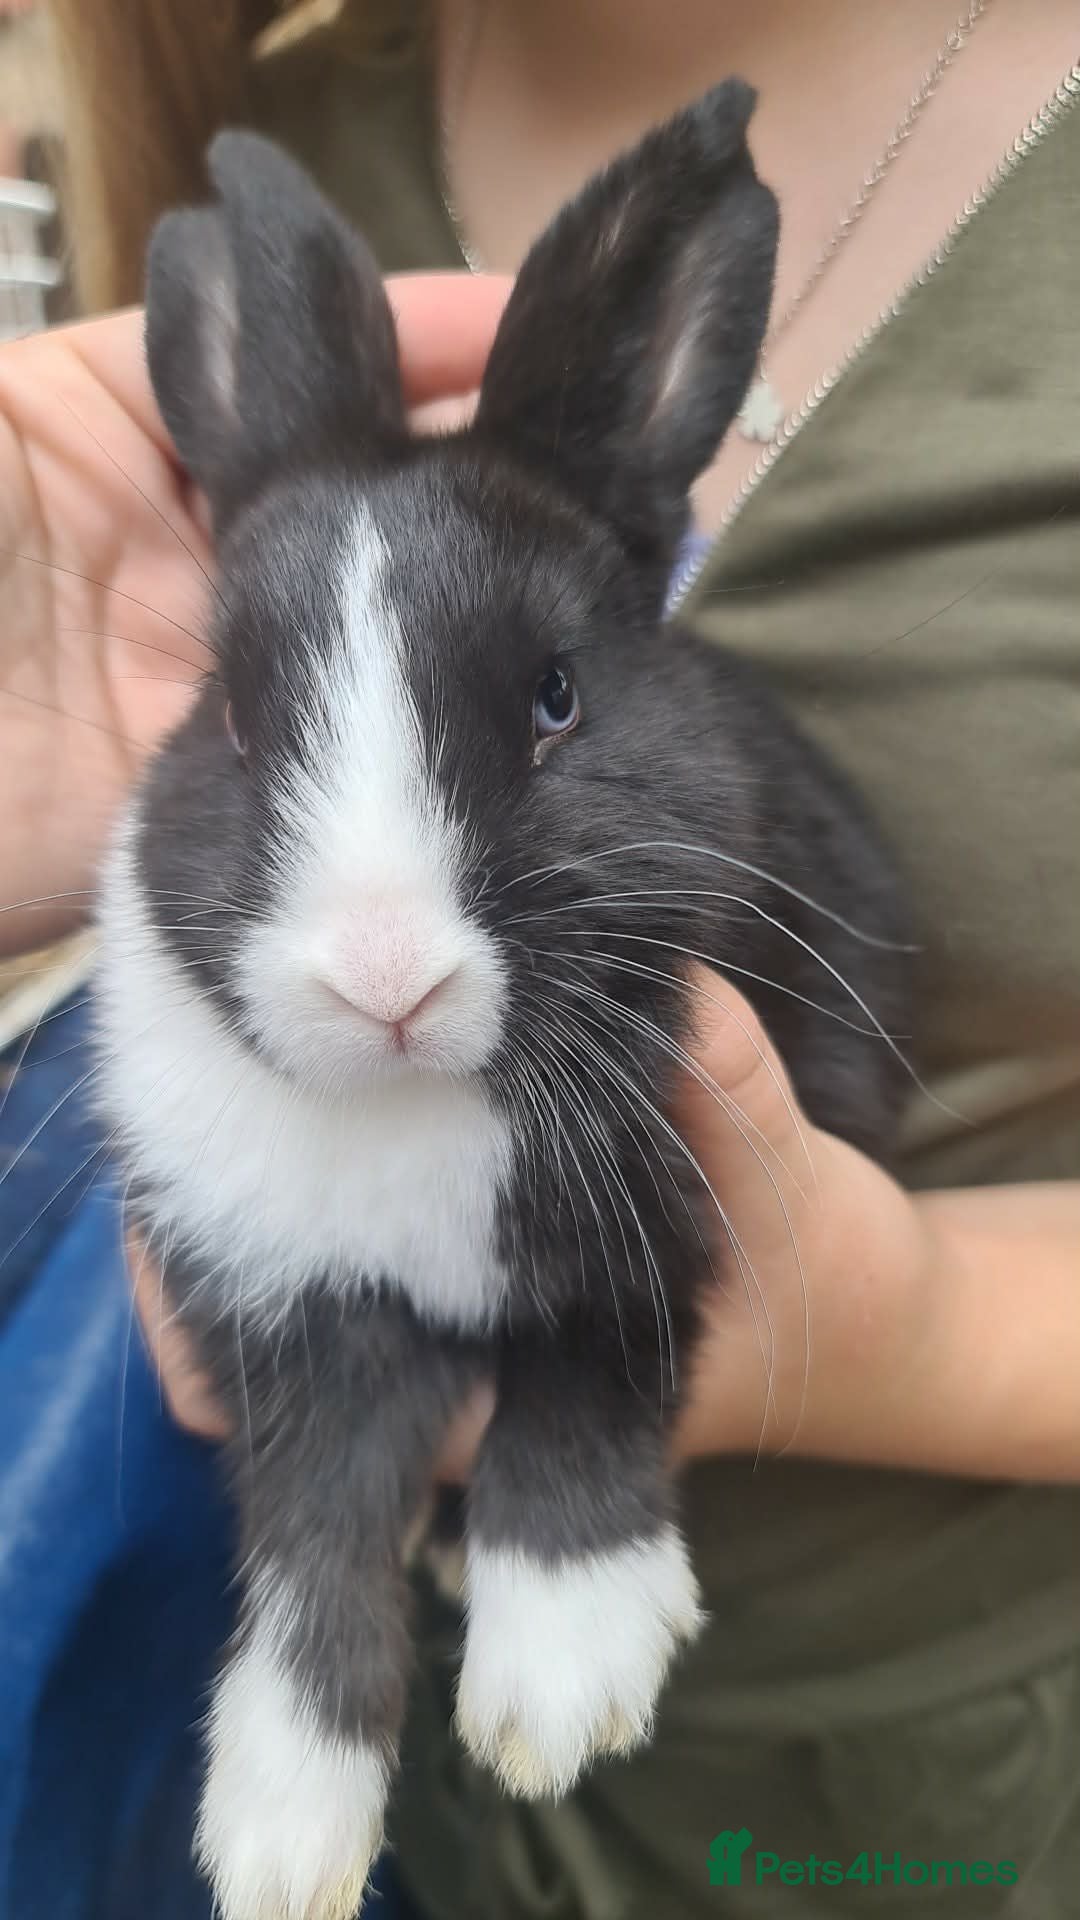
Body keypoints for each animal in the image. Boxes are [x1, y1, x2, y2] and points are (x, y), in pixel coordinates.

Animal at [94, 78, 912, 1920]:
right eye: (233, 718)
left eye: (556, 698)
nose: (384, 976)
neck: (418, 1114)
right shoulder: (291, 1321)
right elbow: (316, 1528)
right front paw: (283, 1830)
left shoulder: (677, 1217)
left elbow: (586, 1382)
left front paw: (562, 1673)